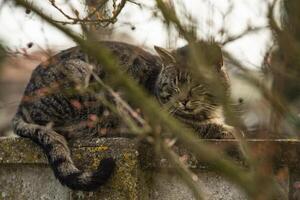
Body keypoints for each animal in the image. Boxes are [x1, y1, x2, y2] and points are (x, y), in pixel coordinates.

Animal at [11, 39, 234, 191]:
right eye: (174, 85)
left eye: (196, 85)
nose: (183, 101)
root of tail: (21, 103)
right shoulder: (161, 125)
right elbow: (201, 127)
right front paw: (228, 131)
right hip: (82, 78)